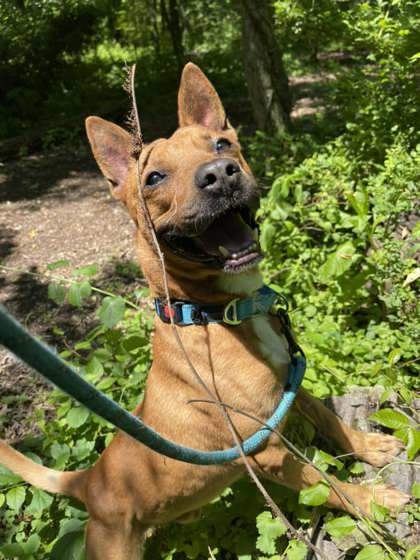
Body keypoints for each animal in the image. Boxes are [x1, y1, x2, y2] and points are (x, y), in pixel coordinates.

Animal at [0, 63, 408, 556]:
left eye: (221, 144)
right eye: (154, 177)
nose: (220, 174)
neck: (218, 313)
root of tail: (92, 479)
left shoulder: (290, 384)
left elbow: (331, 418)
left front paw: (368, 447)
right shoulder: (268, 451)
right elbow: (327, 484)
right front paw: (375, 501)